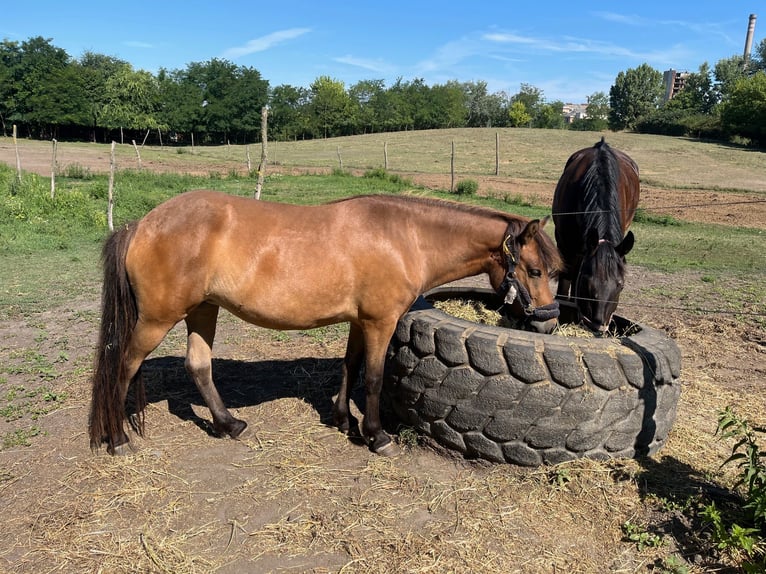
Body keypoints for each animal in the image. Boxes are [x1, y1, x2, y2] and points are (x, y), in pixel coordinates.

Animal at [89, 191, 563, 457]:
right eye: (536, 270)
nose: (547, 325)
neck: (405, 237)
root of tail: (142, 224)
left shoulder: (359, 321)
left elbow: (350, 366)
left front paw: (342, 420)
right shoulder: (380, 321)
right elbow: (372, 377)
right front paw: (376, 436)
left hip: (203, 310)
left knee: (199, 366)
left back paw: (228, 425)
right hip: (157, 319)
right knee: (123, 367)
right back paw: (118, 439)